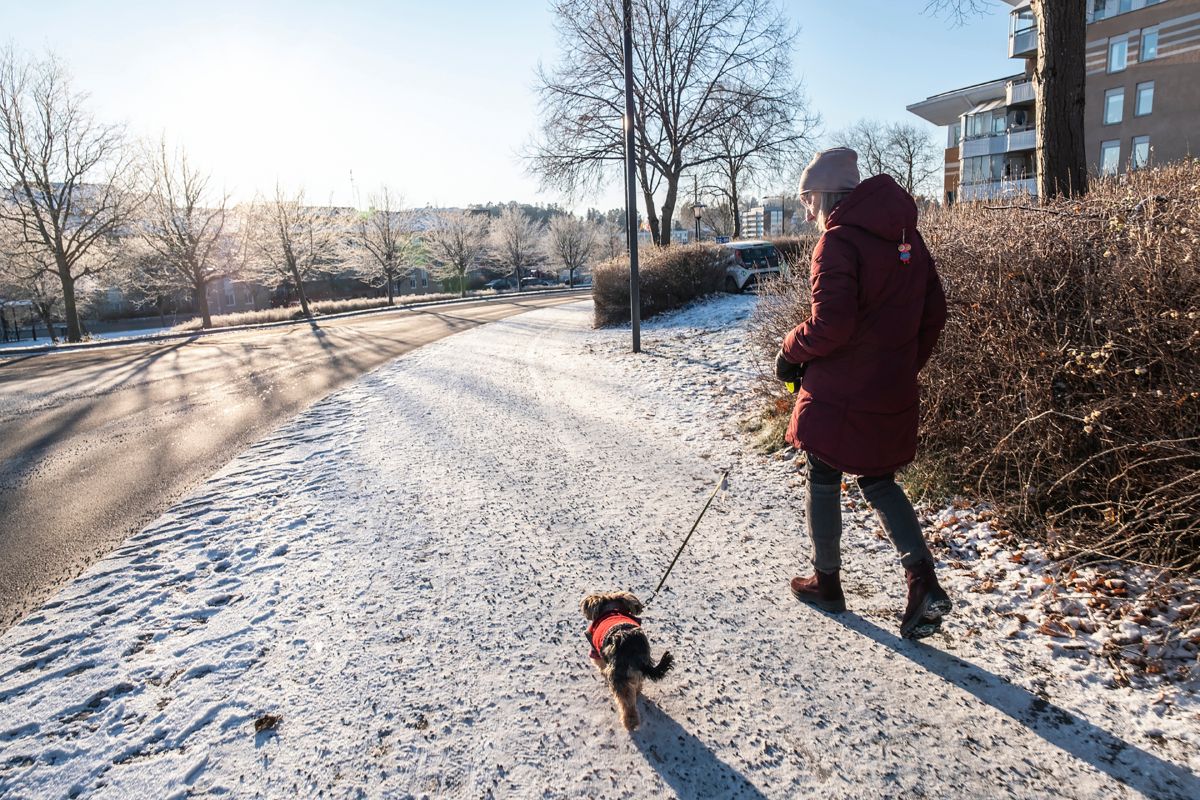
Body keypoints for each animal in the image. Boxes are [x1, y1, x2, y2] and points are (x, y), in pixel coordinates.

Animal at [580, 587, 676, 734]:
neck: (612, 610)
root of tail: (632, 650)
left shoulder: (595, 652)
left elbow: (600, 664)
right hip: (638, 671)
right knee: (636, 686)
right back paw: (637, 692)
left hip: (618, 677)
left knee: (627, 704)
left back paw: (630, 724)